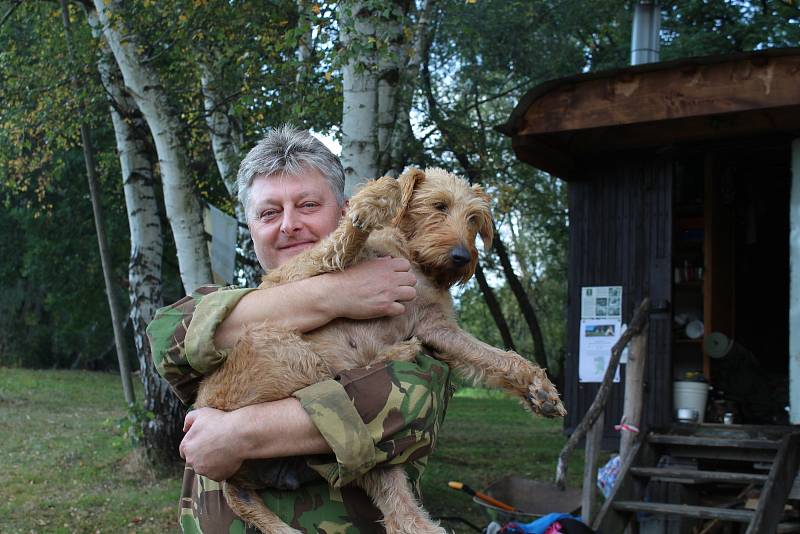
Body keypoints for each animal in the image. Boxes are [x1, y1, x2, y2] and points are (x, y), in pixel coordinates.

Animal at [196, 169, 564, 534]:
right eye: (439, 205)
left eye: (474, 219)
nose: (462, 258)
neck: (413, 259)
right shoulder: (291, 277)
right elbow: (335, 245)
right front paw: (375, 200)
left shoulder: (439, 327)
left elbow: (499, 358)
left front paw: (541, 391)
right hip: (287, 349)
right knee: (335, 387)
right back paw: (399, 350)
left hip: (362, 452)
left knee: (401, 515)